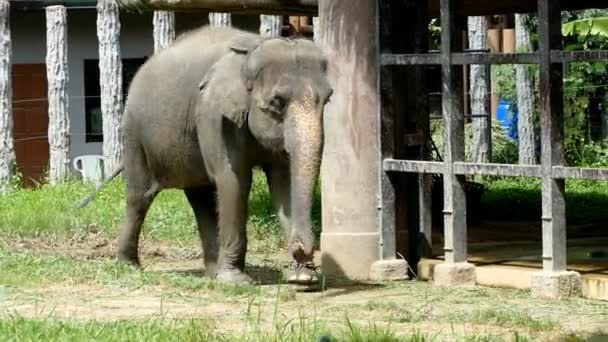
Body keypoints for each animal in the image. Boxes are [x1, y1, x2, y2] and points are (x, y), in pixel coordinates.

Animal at [79, 24, 334, 286]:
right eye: (276, 103)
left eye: (328, 98)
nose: (302, 250)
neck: (253, 50)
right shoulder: (213, 115)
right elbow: (233, 179)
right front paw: (236, 281)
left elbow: (283, 182)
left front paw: (303, 277)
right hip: (133, 132)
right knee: (141, 196)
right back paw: (129, 265)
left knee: (200, 197)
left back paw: (212, 272)